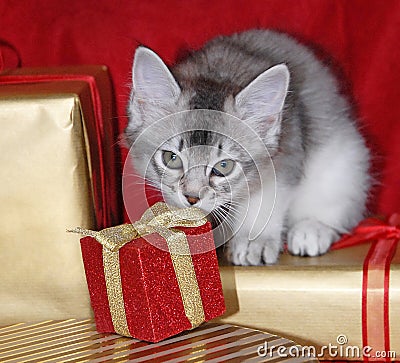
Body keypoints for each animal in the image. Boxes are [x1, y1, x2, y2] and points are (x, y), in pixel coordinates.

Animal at [123, 29, 370, 266]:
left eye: (224, 166)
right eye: (171, 158)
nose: (192, 198)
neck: (217, 73)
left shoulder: (284, 157)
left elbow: (264, 202)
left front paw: (253, 241)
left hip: (346, 160)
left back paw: (311, 230)